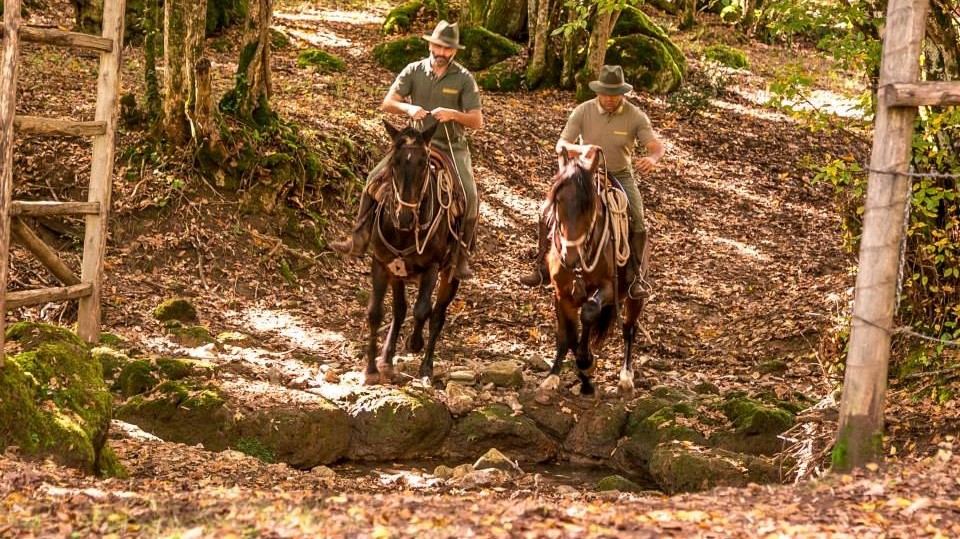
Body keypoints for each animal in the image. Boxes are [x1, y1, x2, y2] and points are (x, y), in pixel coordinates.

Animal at [363, 119, 465, 385]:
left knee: (437, 316)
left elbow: (423, 311)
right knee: (400, 311)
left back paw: (426, 367)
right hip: (398, 274)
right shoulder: (381, 263)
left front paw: (414, 343)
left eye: (423, 163)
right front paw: (371, 369)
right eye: (394, 162)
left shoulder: (432, 267)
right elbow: (375, 313)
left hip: (450, 275)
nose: (405, 216)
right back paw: (386, 361)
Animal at [538, 154, 649, 399]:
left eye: (589, 206)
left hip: (634, 297)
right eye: (558, 201)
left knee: (629, 328)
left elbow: (588, 313)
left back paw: (626, 377)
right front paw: (558, 376)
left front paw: (587, 363)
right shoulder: (561, 294)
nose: (569, 257)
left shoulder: (607, 288)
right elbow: (568, 335)